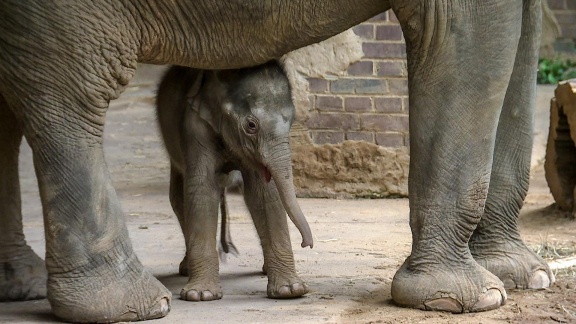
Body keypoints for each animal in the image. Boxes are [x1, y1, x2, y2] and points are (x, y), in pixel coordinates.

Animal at [155, 61, 312, 302]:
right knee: (179, 197)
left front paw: (291, 290)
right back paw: (187, 270)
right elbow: (201, 189)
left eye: (292, 120)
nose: (306, 244)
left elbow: (263, 193)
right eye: (251, 125)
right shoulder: (195, 128)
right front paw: (201, 295)